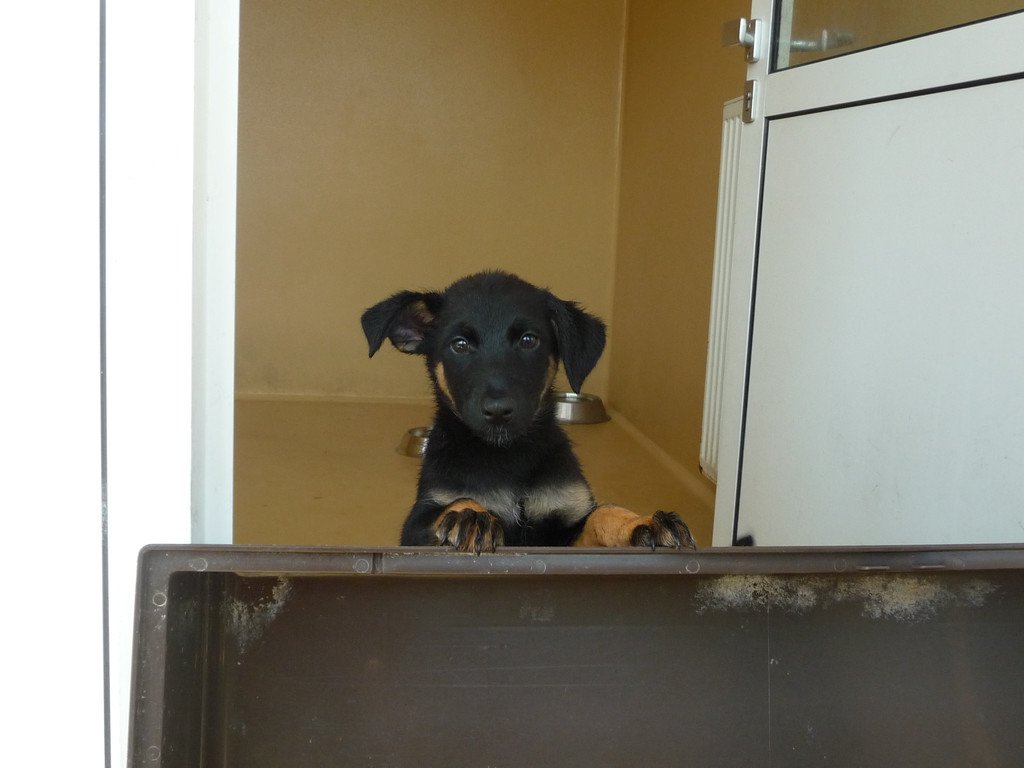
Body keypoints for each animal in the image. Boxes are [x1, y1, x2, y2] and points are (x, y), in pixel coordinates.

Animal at [361, 271, 696, 553]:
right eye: (459, 344)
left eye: (528, 340)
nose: (498, 411)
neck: (509, 455)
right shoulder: (417, 524)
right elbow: (457, 502)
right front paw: (471, 515)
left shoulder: (563, 526)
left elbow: (604, 512)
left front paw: (641, 522)